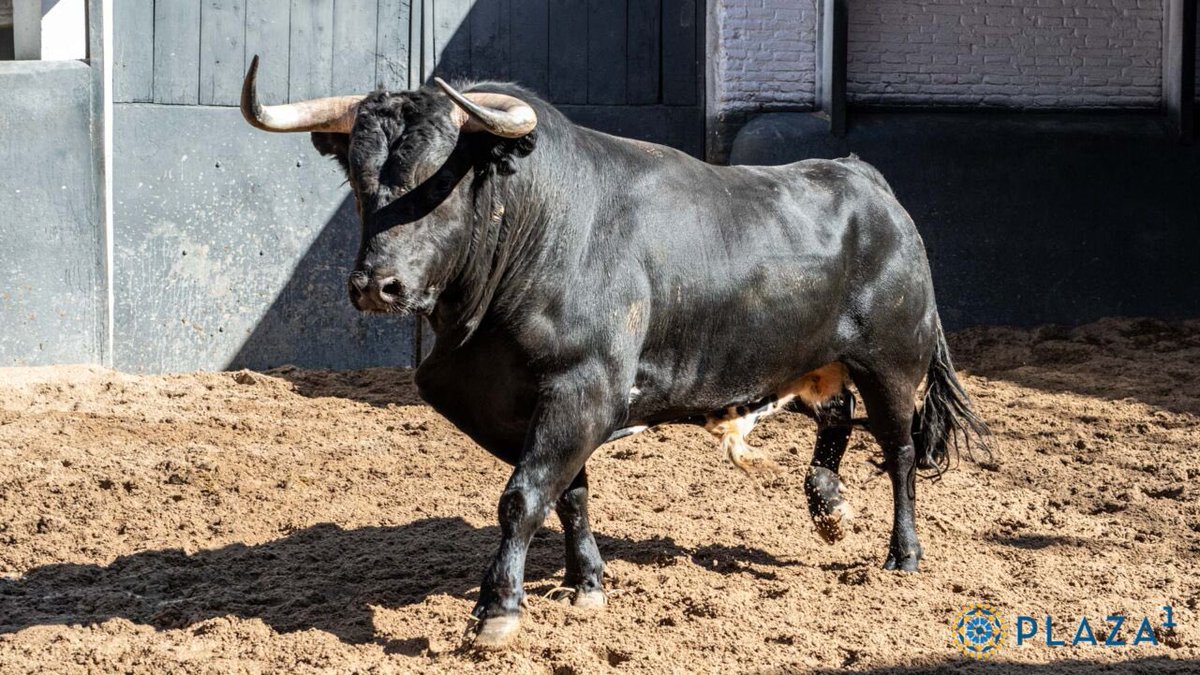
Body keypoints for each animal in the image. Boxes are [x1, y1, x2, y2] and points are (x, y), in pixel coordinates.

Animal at [238, 57, 988, 648]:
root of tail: (864, 179)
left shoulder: (584, 388)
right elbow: (567, 492)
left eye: (437, 180)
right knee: (835, 416)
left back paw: (902, 554)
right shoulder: (517, 404)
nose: (376, 285)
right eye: (359, 180)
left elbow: (522, 497)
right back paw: (828, 506)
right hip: (807, 357)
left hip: (893, 362)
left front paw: (496, 610)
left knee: (898, 450)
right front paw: (587, 584)